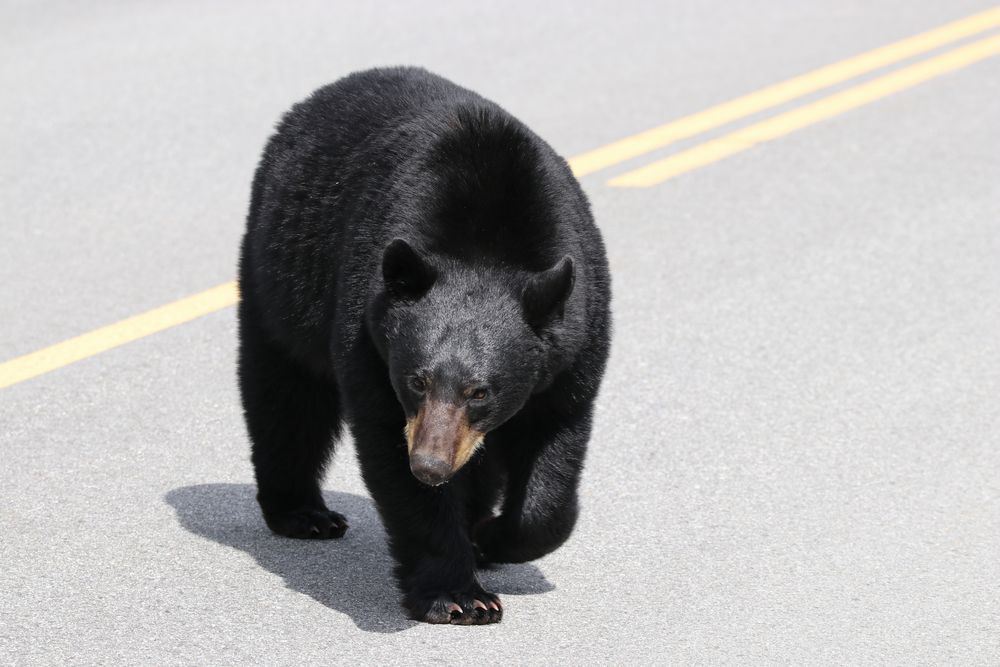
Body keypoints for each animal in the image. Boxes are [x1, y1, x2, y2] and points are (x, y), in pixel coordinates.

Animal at [239, 68, 612, 628]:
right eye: (416, 379)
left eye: (481, 391)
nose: (430, 466)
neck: (485, 243)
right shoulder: (367, 331)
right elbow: (388, 449)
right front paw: (459, 595)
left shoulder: (576, 341)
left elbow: (555, 448)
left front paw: (493, 537)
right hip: (278, 278)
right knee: (285, 396)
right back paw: (303, 513)